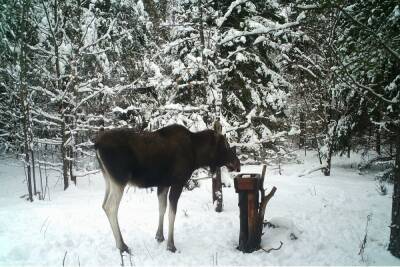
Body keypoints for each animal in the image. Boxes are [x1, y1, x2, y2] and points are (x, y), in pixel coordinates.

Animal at [96, 124, 241, 260]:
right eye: (226, 144)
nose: (238, 164)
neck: (197, 155)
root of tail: (96, 145)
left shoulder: (163, 184)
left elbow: (162, 208)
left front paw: (159, 236)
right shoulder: (178, 182)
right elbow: (172, 213)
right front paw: (171, 245)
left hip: (109, 179)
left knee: (103, 204)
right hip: (120, 179)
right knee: (110, 207)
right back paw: (122, 246)